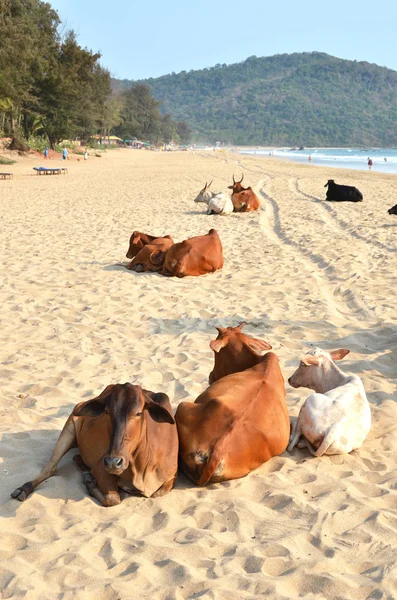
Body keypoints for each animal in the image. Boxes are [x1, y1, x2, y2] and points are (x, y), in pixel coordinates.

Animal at [10, 384, 178, 506]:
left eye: (138, 413)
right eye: (107, 411)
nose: (113, 462)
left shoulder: (171, 477)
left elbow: (158, 493)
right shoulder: (100, 468)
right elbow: (112, 499)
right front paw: (90, 482)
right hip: (69, 427)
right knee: (49, 469)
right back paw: (22, 489)